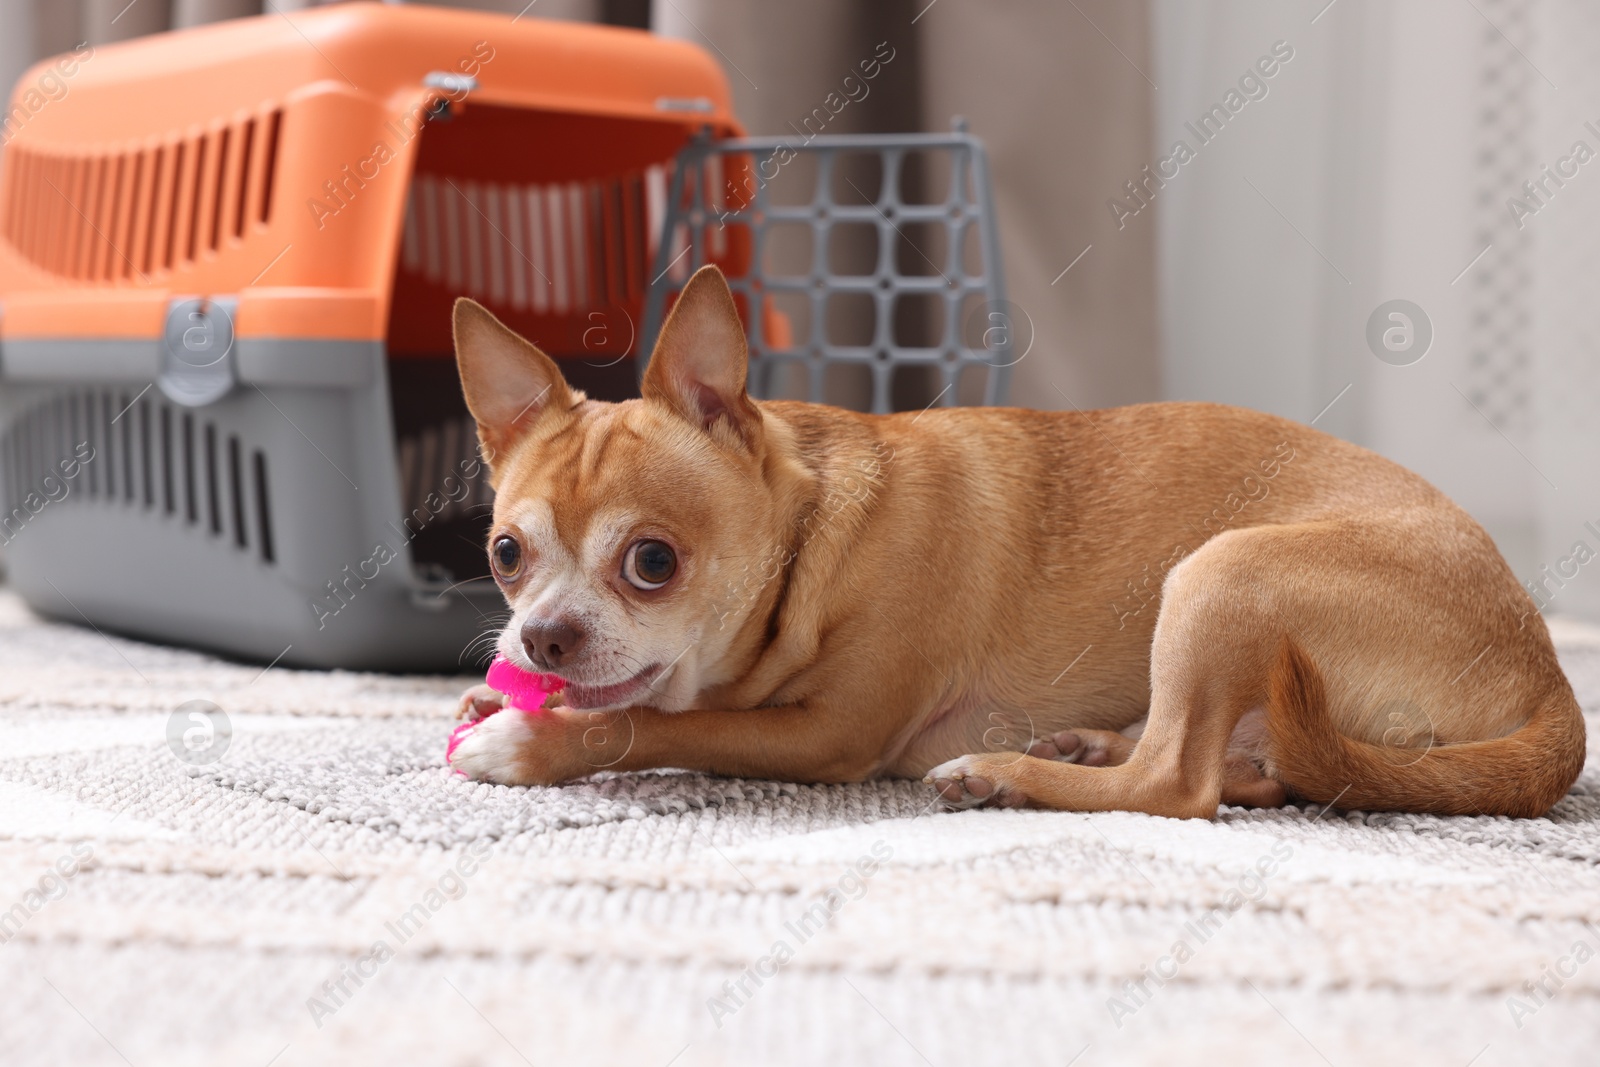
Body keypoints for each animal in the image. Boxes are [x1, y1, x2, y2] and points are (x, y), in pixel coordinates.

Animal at [444, 265, 1580, 819]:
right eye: (504, 554)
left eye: (652, 562)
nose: (540, 638)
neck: (815, 534)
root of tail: (1546, 674)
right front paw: (491, 698)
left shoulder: (829, 735)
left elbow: (657, 722)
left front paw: (528, 738)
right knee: (1251, 770)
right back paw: (1080, 745)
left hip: (1222, 568)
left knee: (1178, 786)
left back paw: (1005, 773)